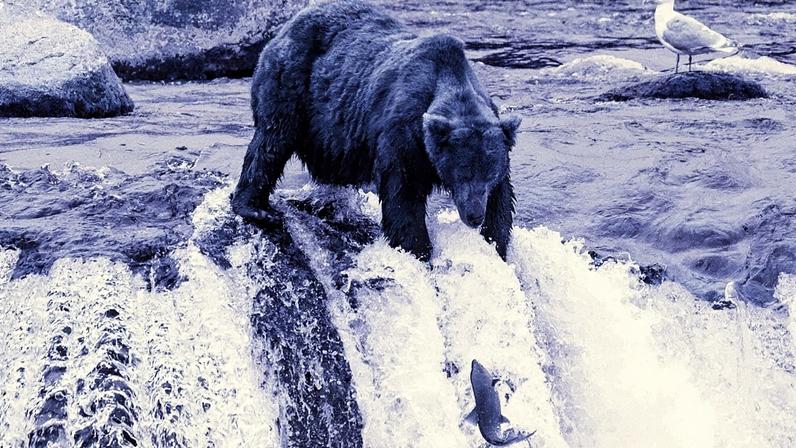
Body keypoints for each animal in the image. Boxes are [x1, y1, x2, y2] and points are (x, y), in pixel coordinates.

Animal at [232, 0, 521, 261]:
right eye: (462, 172)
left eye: (489, 174)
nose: (474, 215)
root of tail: (288, 24)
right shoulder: (404, 134)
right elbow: (403, 194)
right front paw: (417, 250)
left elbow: (502, 200)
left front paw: (495, 242)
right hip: (292, 80)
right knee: (273, 139)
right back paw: (256, 209)